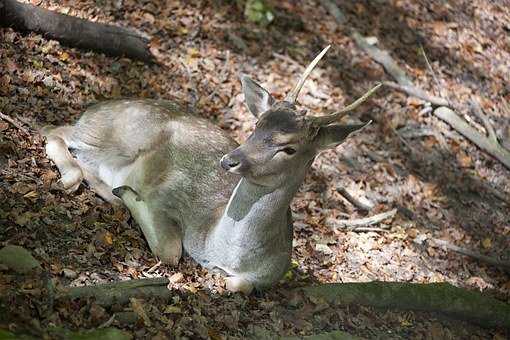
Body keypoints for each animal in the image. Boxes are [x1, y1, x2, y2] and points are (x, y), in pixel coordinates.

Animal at [42, 46, 378, 294]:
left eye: (289, 148)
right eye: (257, 125)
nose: (230, 160)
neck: (220, 247)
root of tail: (93, 108)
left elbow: (237, 285)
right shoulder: (168, 194)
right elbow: (170, 250)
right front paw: (128, 193)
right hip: (119, 135)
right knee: (54, 131)